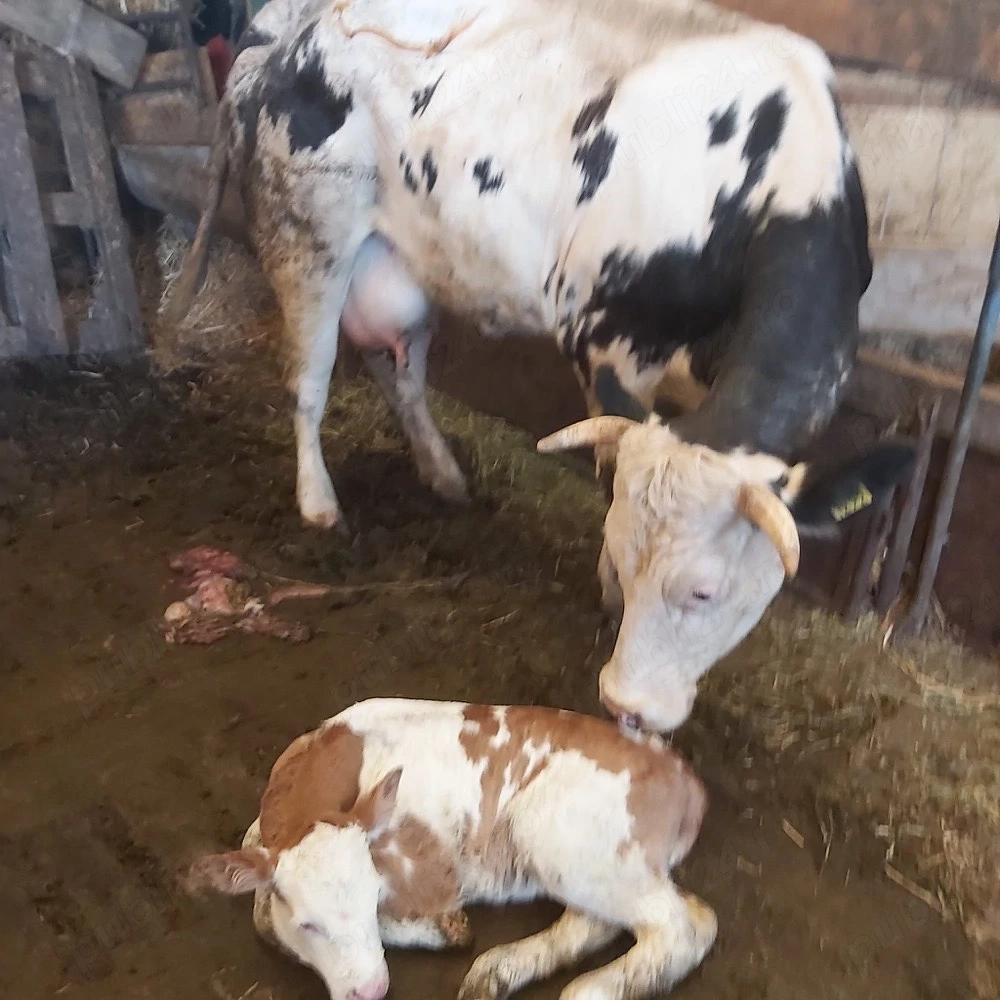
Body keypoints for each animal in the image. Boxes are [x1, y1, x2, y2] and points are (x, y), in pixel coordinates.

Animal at [166, 0, 917, 731]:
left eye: (704, 591)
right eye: (623, 552)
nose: (625, 707)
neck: (761, 190)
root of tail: (292, 25)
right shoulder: (607, 335)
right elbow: (610, 464)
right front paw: (608, 593)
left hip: (401, 266)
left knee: (395, 368)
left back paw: (444, 474)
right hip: (308, 239)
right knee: (310, 380)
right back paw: (319, 503)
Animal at [185, 697, 717, 1000]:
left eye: (369, 901)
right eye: (308, 923)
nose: (371, 989)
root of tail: (683, 773)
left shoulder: (426, 872)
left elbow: (264, 918)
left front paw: (447, 928)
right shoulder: (260, 838)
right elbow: (261, 907)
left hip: (557, 832)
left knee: (684, 925)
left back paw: (587, 991)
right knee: (597, 921)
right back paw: (497, 973)